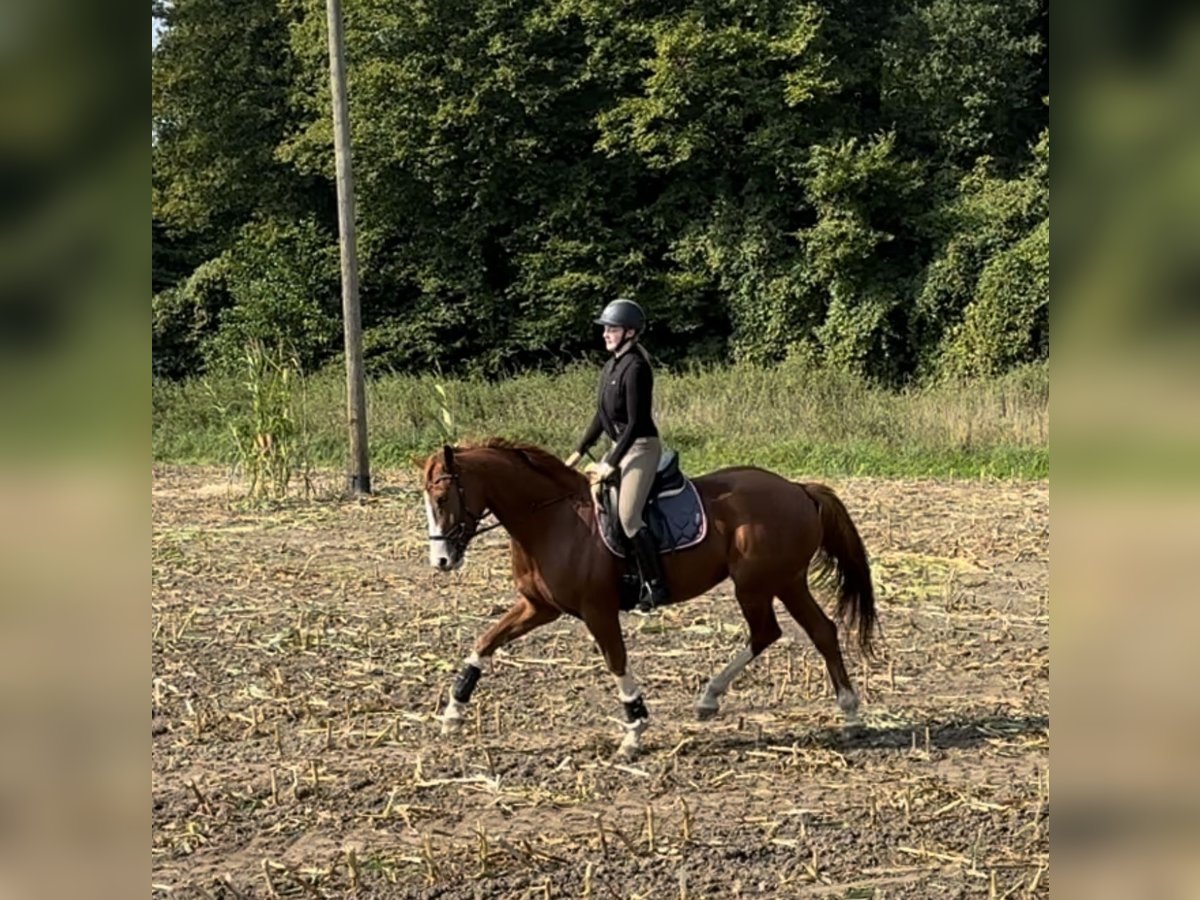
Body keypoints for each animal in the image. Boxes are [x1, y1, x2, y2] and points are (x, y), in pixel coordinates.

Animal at [422, 441, 873, 758]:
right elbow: (485, 642)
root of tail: (797, 489)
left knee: (773, 632)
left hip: (759, 583)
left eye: (442, 499)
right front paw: (453, 713)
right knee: (816, 631)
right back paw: (844, 713)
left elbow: (616, 662)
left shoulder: (598, 611)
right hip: (784, 582)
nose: (441, 560)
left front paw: (634, 732)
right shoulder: (539, 607)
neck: (552, 520)